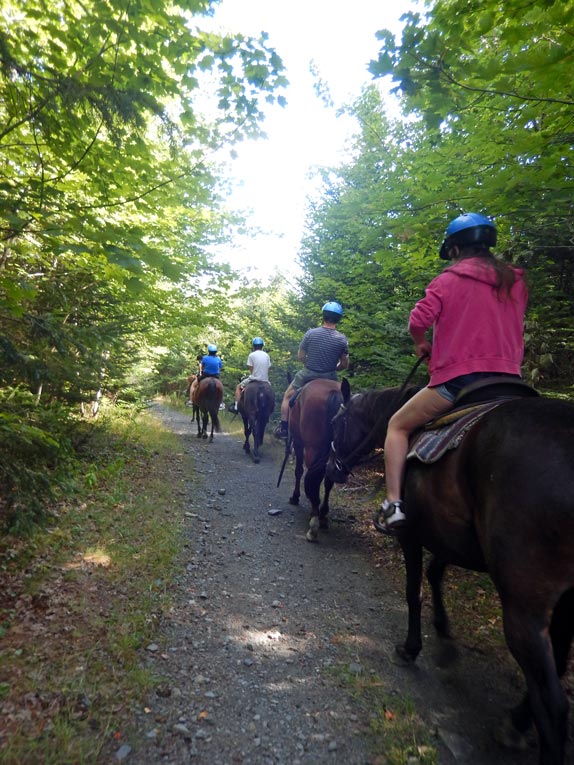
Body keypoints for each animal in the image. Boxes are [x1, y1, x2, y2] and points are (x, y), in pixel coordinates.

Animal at [282, 380, 344, 540]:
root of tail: (334, 392)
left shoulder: (299, 443)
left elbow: (298, 471)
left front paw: (295, 497)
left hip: (311, 448)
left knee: (314, 478)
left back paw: (314, 522)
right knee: (328, 480)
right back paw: (322, 515)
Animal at [326, 378, 574, 764]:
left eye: (338, 423)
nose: (331, 467)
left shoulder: (413, 535)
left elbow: (415, 590)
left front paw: (411, 648)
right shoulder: (452, 537)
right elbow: (435, 573)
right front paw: (443, 629)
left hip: (524, 604)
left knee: (555, 701)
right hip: (565, 603)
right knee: (556, 668)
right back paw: (516, 721)